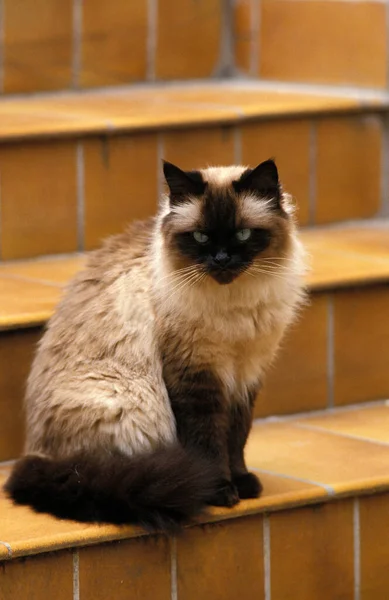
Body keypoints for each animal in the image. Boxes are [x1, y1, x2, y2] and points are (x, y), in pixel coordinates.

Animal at [3, 158, 306, 528]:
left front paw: (243, 483)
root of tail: (36, 453)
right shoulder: (196, 375)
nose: (221, 259)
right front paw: (220, 491)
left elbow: (237, 437)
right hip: (131, 402)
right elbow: (208, 441)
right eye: (201, 237)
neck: (234, 305)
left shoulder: (245, 374)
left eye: (243, 234)